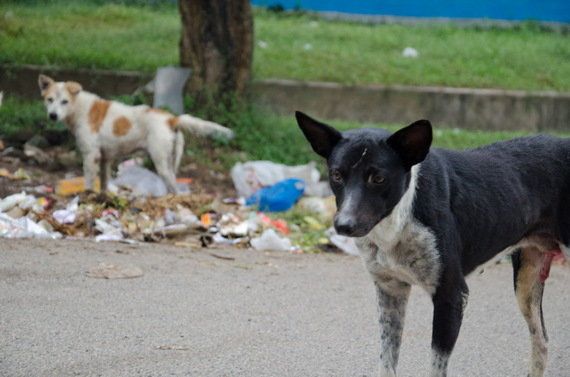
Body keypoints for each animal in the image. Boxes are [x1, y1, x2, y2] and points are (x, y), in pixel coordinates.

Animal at [38, 73, 233, 192]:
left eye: (64, 101)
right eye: (50, 100)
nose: (53, 115)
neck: (80, 108)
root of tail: (171, 119)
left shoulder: (90, 156)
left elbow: (88, 183)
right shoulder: (105, 159)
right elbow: (103, 185)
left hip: (161, 163)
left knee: (174, 190)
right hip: (171, 161)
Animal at [296, 111, 564, 376]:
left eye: (378, 178)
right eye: (336, 175)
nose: (343, 225)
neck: (400, 219)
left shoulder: (452, 296)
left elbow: (436, 366)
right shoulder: (390, 291)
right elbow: (387, 361)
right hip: (526, 282)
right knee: (541, 341)